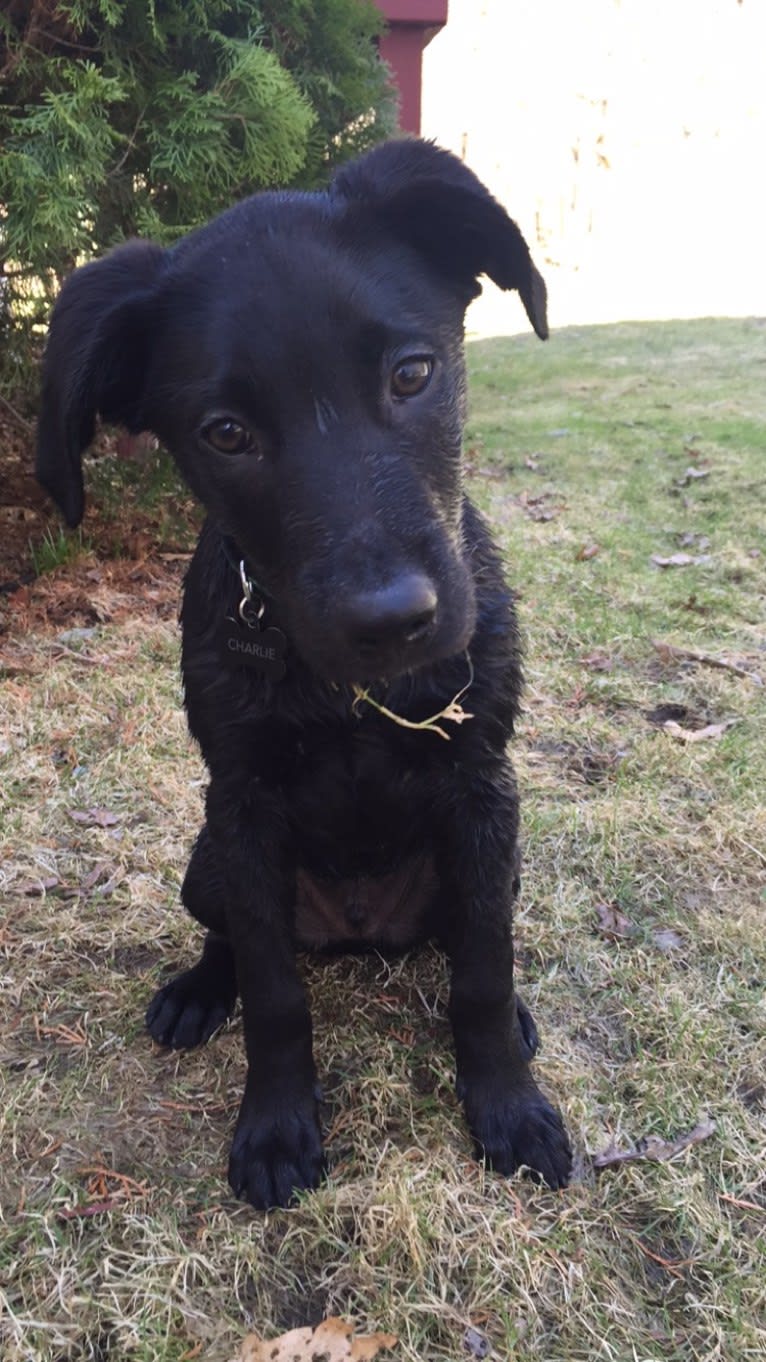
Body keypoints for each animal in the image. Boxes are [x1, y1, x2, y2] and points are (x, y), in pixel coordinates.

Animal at [38, 135, 569, 1204]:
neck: (354, 701)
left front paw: (508, 1103)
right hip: (208, 863)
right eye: (226, 434)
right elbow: (276, 996)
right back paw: (199, 993)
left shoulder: (483, 789)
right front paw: (277, 1127)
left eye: (414, 372)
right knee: (238, 943)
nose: (393, 622)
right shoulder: (244, 810)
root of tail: (356, 928)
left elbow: (485, 973)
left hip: (490, 860)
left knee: (466, 940)